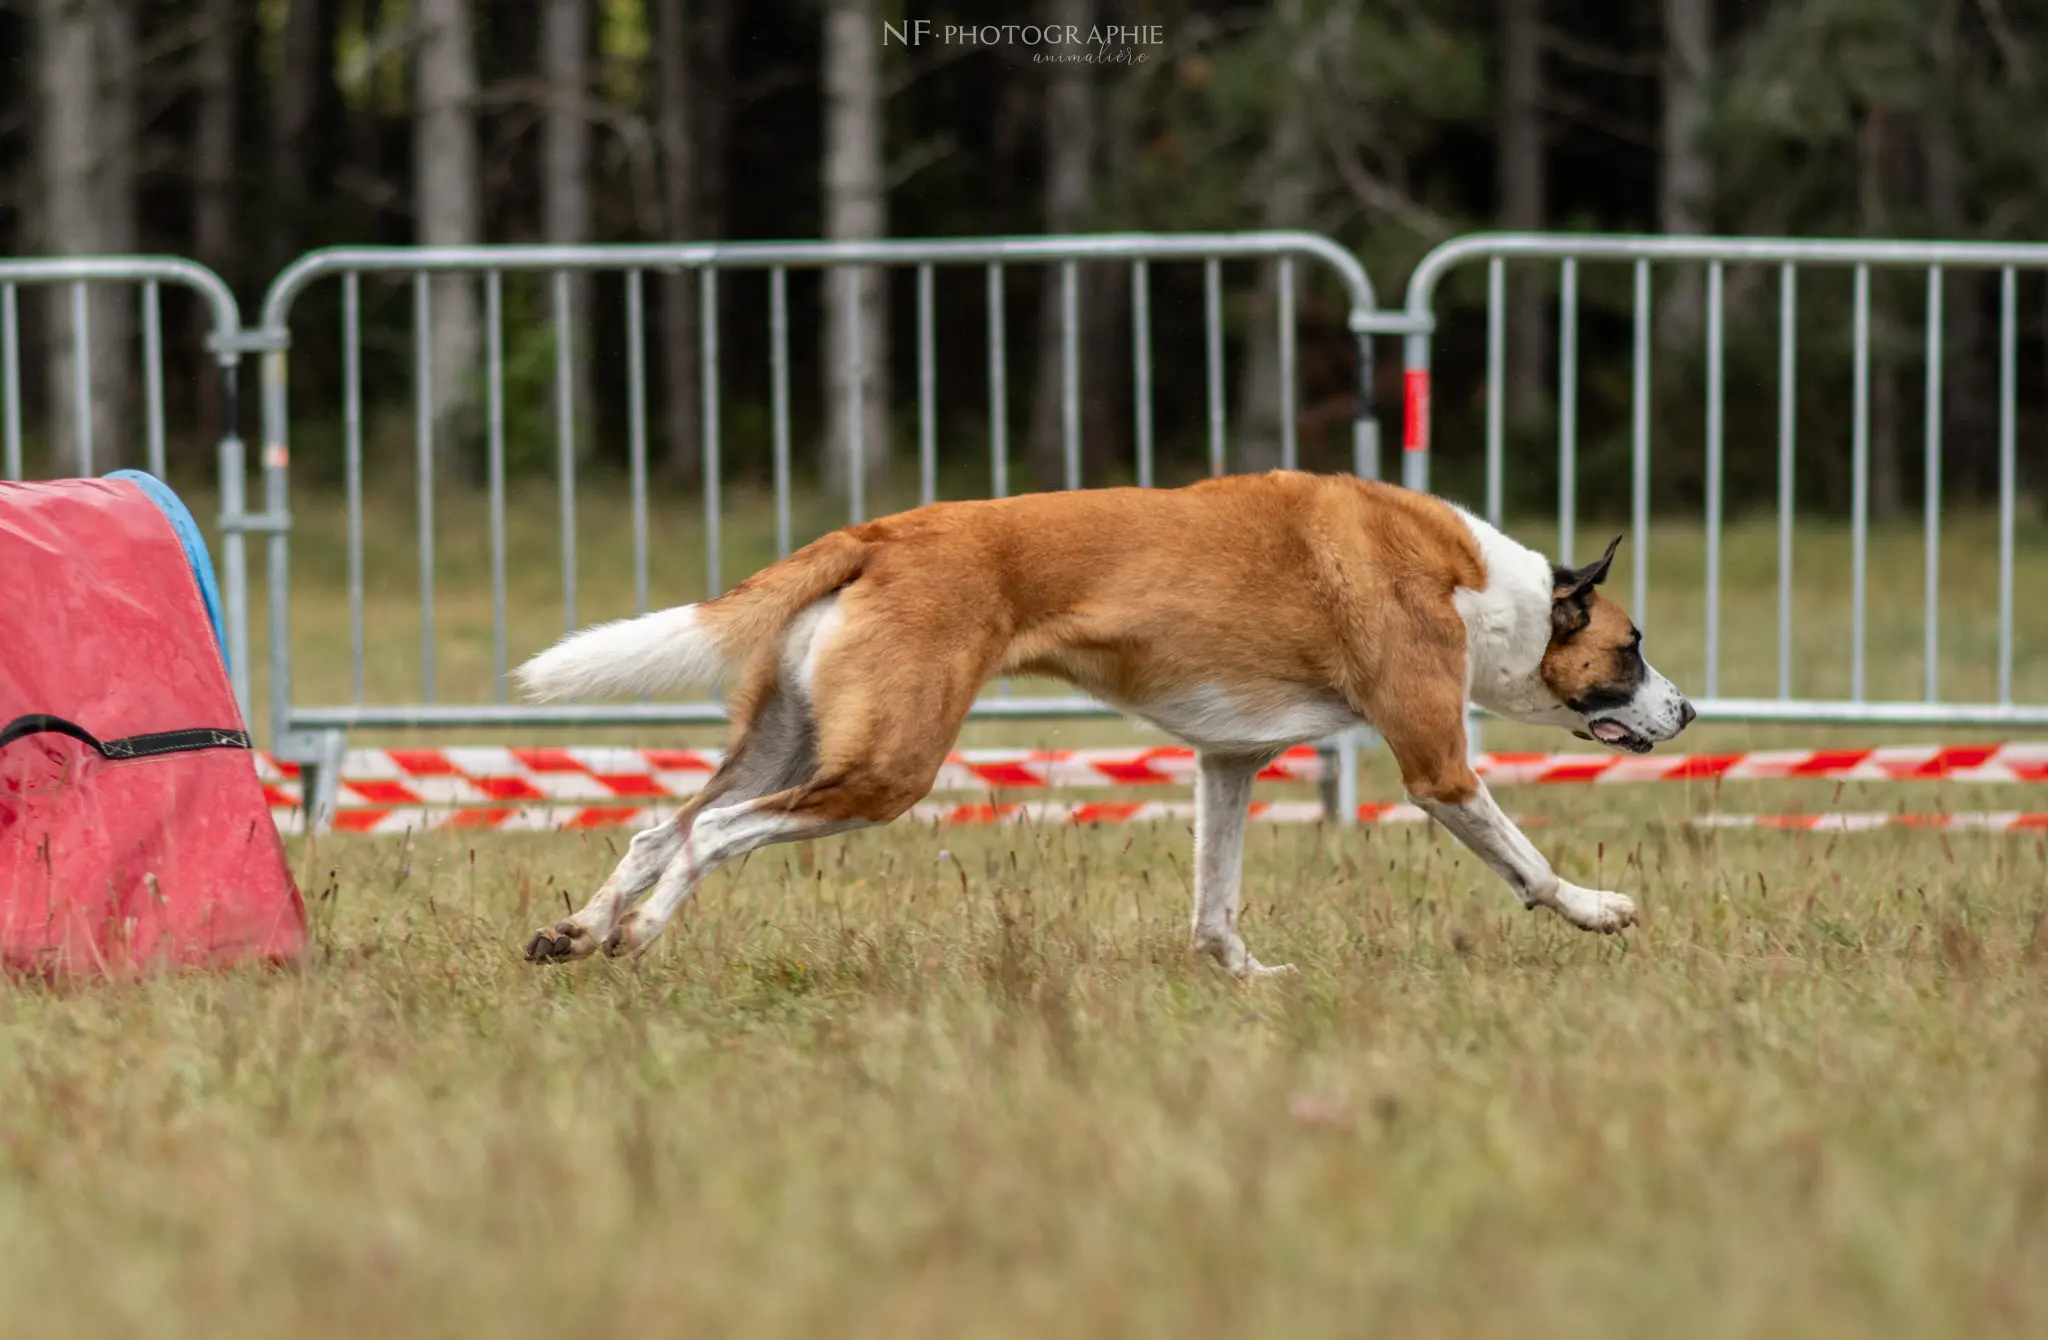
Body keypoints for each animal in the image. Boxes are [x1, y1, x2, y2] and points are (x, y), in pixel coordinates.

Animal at [516, 473, 1695, 975]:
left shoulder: (1227, 759)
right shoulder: (1436, 766)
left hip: (793, 741)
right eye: (1631, 647)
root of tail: (883, 532)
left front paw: (1245, 982)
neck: (1479, 583)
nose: (1687, 709)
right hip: (885, 767)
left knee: (659, 826)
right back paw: (636, 936)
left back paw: (575, 933)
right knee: (711, 835)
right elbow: (1529, 865)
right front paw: (1597, 909)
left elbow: (1214, 900)